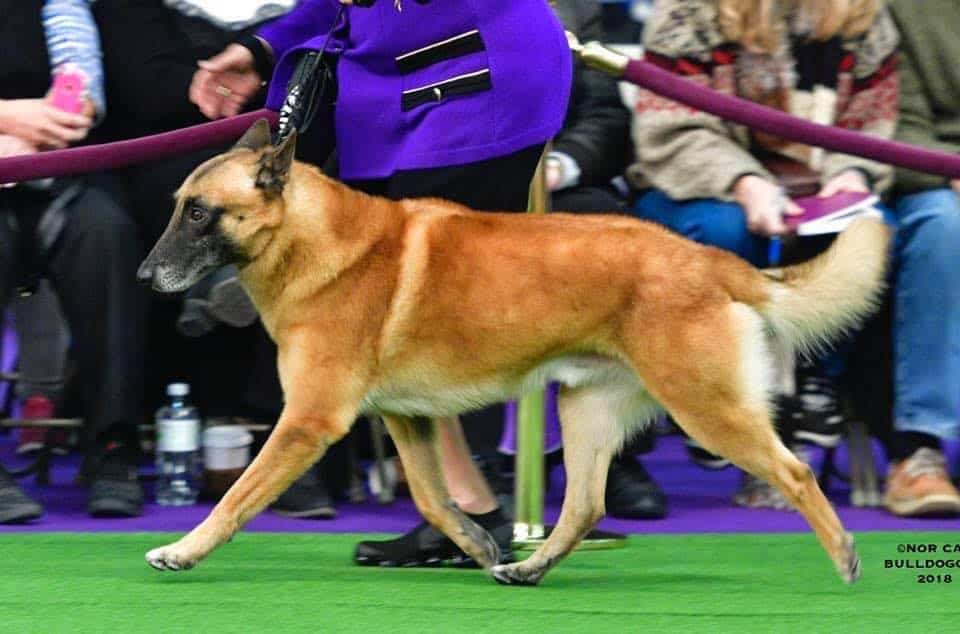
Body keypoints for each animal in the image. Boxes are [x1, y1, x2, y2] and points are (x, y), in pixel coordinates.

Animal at [137, 121, 892, 584]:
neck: (317, 242)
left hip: (708, 410)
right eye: (176, 205)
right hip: (586, 411)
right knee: (583, 507)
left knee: (797, 473)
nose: (145, 278)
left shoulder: (307, 423)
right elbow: (434, 499)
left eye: (199, 212)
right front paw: (475, 544)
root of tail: (709, 260)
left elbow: (237, 497)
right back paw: (527, 567)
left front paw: (183, 549)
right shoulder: (405, 419)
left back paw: (845, 555)